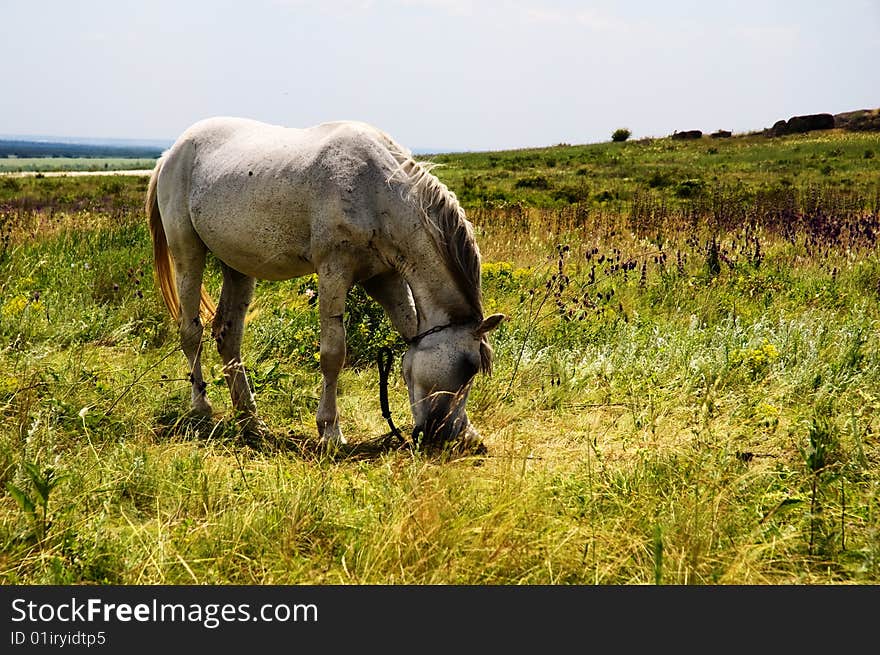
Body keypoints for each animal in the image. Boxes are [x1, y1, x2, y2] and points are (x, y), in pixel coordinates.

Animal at [145, 115, 502, 448]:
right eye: (468, 367)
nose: (447, 435)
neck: (377, 192)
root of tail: (171, 153)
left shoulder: (384, 278)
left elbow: (409, 331)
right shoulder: (334, 271)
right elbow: (333, 354)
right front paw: (330, 431)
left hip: (238, 266)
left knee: (227, 337)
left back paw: (250, 419)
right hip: (187, 253)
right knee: (191, 331)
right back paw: (201, 407)